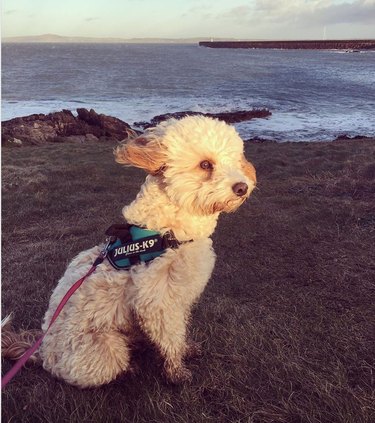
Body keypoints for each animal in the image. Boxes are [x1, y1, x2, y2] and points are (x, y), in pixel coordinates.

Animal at [4, 116, 258, 388]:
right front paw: (176, 371)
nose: (242, 187)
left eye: (236, 160)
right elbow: (171, 337)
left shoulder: (180, 298)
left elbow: (180, 330)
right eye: (205, 164)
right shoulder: (158, 302)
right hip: (105, 350)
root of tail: (42, 353)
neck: (167, 230)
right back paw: (131, 367)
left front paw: (186, 349)